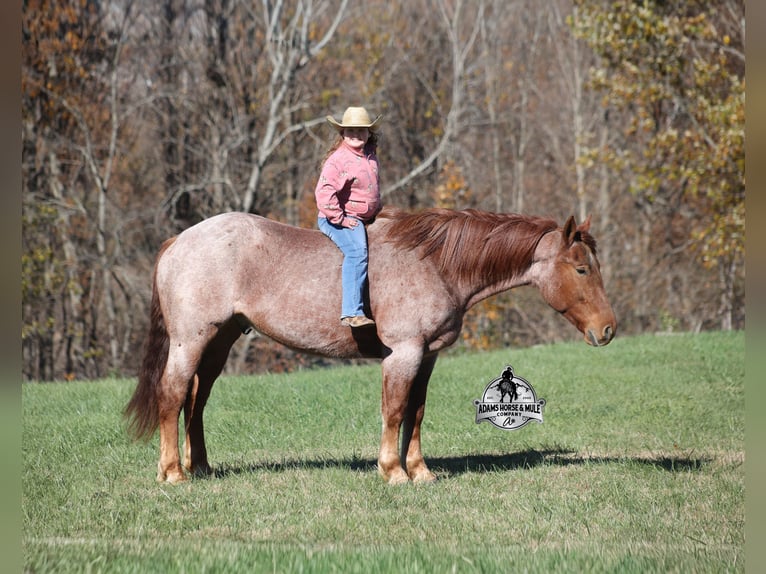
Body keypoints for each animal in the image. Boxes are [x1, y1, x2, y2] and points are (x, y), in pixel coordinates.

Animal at [125, 206, 616, 485]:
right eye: (581, 269)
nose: (608, 329)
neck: (435, 263)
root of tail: (178, 240)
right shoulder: (404, 353)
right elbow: (395, 411)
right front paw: (393, 471)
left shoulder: (427, 355)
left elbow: (416, 413)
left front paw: (419, 470)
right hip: (190, 342)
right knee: (173, 395)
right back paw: (173, 473)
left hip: (219, 342)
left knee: (196, 401)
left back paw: (201, 467)